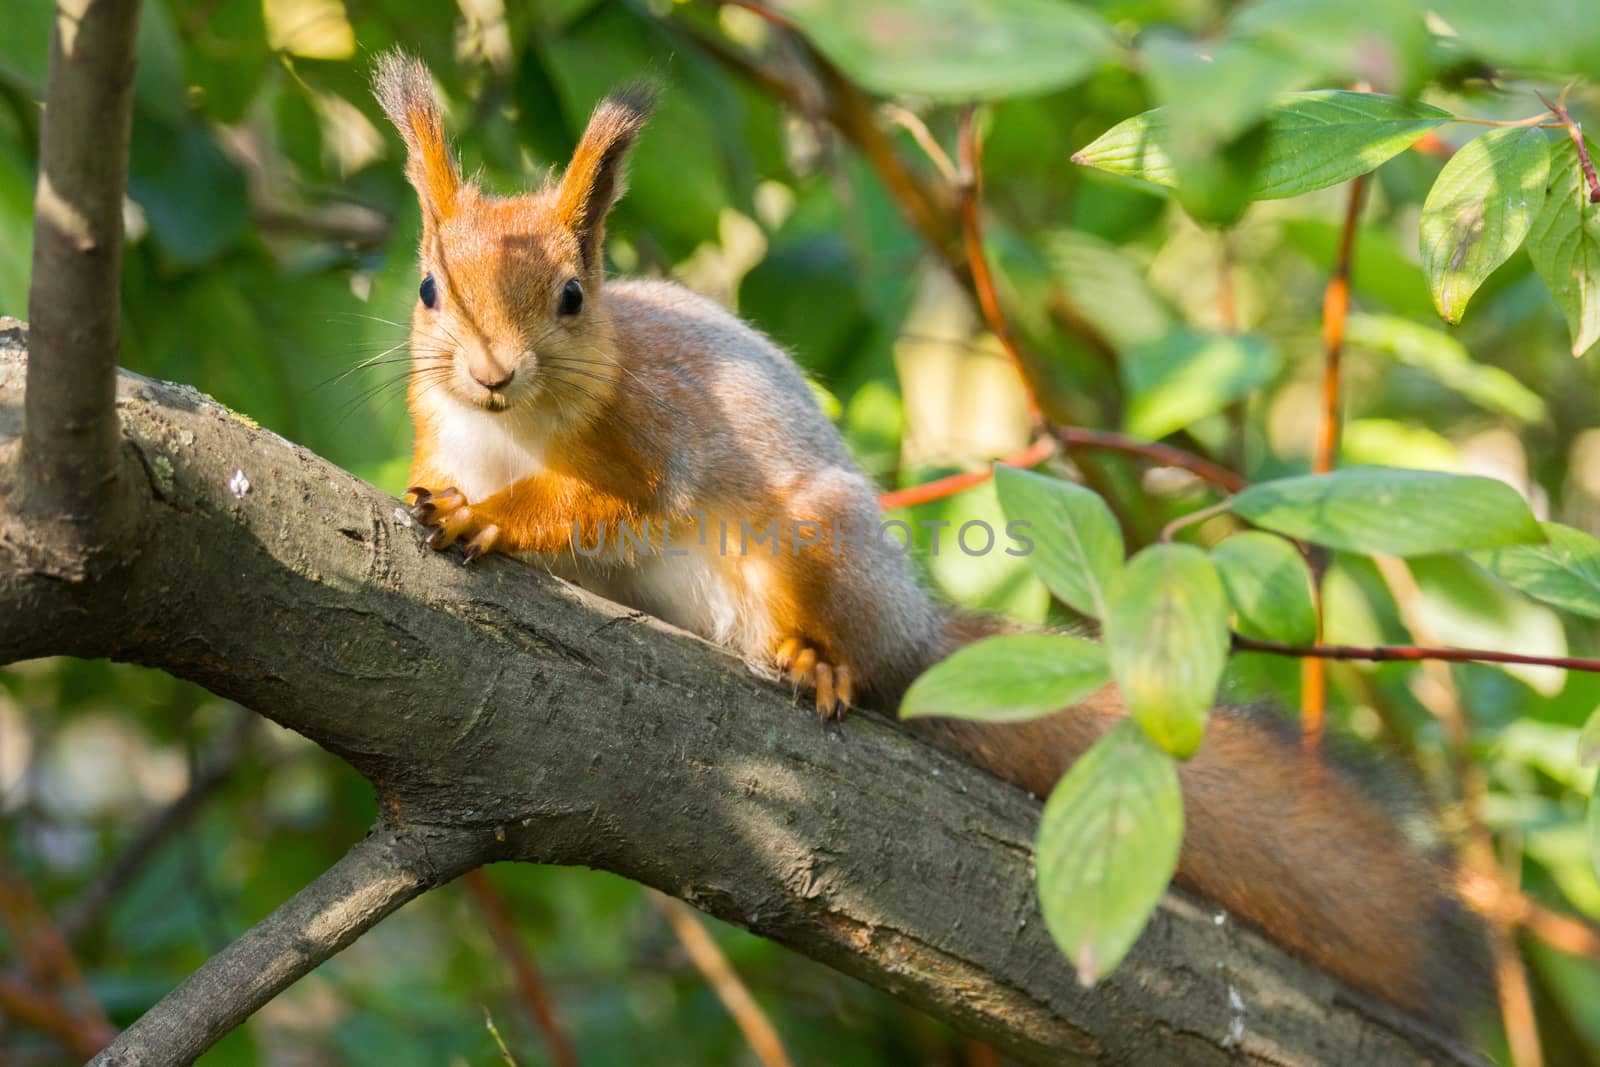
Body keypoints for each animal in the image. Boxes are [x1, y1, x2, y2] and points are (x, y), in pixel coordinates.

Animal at [371, 54, 1484, 1030]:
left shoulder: (645, 439)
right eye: (428, 288)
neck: (506, 430)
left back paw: (815, 660)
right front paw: (434, 494)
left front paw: (484, 517)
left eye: (572, 296)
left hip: (817, 540)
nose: (492, 372)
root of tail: (915, 637)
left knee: (846, 647)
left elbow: (592, 504)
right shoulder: (442, 427)